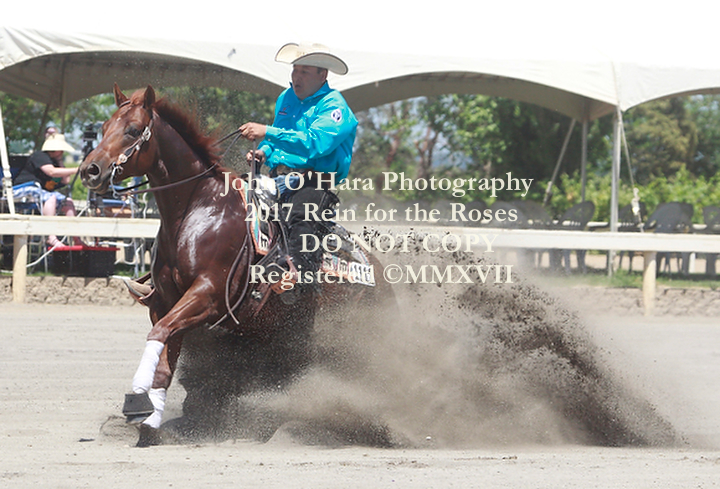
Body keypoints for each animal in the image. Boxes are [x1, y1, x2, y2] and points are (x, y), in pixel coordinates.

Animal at [80, 84, 391, 446]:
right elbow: (164, 361)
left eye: (132, 130)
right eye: (103, 128)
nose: (90, 170)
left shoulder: (208, 295)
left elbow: (158, 335)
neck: (198, 212)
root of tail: (379, 275)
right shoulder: (165, 302)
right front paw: (150, 423)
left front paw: (137, 401)